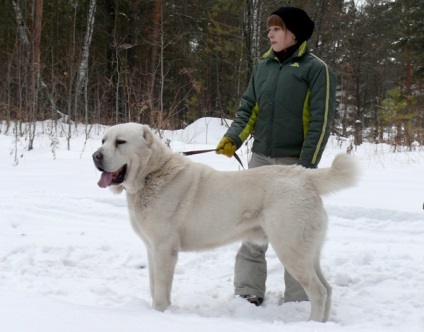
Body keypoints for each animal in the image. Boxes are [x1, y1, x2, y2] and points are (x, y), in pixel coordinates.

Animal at [92, 122, 358, 322]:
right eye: (104, 140)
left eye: (120, 142)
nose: (96, 156)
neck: (151, 174)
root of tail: (305, 176)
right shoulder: (151, 248)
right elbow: (153, 284)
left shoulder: (164, 249)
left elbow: (160, 289)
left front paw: (159, 313)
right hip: (307, 252)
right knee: (328, 289)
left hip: (291, 250)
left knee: (318, 291)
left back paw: (312, 323)